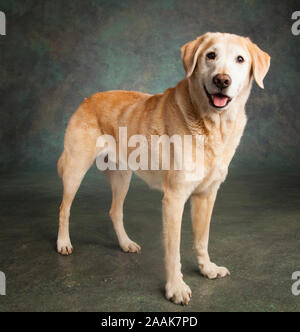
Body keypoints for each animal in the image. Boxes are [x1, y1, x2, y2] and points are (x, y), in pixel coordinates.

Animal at [56, 32, 270, 304]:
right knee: (64, 209)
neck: (212, 125)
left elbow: (202, 238)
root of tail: (87, 98)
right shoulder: (174, 199)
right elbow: (173, 249)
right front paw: (175, 287)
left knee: (115, 211)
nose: (222, 80)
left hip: (122, 178)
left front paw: (207, 269)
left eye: (240, 59)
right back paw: (63, 243)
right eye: (210, 55)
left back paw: (125, 243)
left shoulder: (206, 195)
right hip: (75, 169)